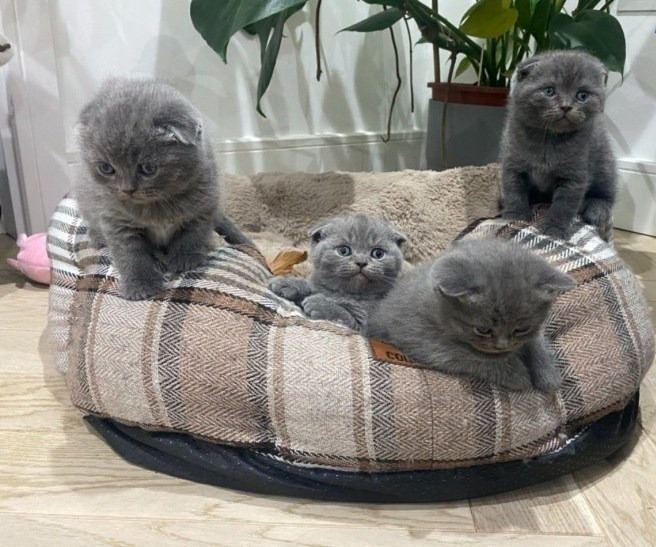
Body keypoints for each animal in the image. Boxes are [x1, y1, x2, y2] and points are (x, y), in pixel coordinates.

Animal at [266, 214, 404, 334]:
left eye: (378, 253)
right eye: (344, 251)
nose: (361, 262)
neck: (344, 293)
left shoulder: (364, 325)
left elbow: (345, 314)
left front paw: (322, 304)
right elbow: (310, 286)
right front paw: (287, 283)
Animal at [368, 241, 576, 394]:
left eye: (521, 329)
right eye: (483, 330)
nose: (502, 346)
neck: (440, 310)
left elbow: (537, 342)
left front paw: (549, 374)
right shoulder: (424, 340)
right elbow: (473, 357)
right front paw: (516, 374)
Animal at [500, 50, 616, 241]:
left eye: (582, 95)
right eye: (549, 91)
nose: (566, 106)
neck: (548, 139)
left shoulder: (574, 176)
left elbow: (563, 206)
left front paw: (553, 229)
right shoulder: (512, 163)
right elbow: (513, 191)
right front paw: (514, 217)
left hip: (605, 164)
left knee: (606, 195)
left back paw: (596, 211)